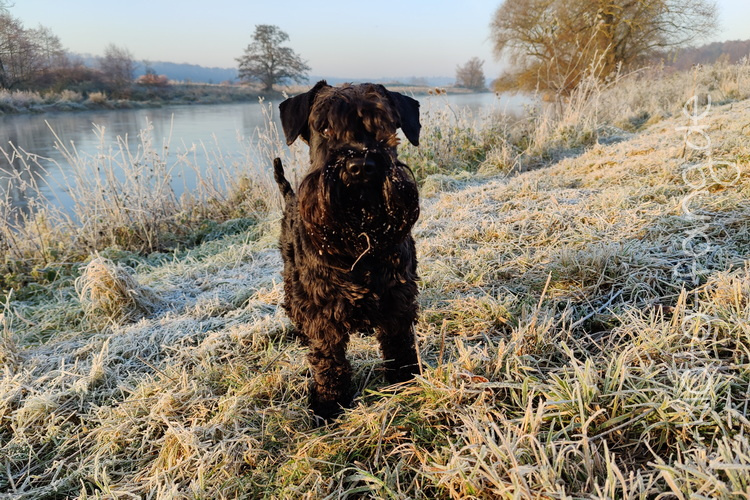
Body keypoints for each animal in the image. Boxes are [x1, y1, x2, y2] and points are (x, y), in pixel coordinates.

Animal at [273, 80, 422, 421]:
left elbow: (398, 340)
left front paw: (405, 377)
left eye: (383, 125)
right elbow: (328, 358)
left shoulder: (398, 294)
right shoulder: (320, 306)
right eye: (324, 127)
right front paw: (329, 402)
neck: (359, 238)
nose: (360, 166)